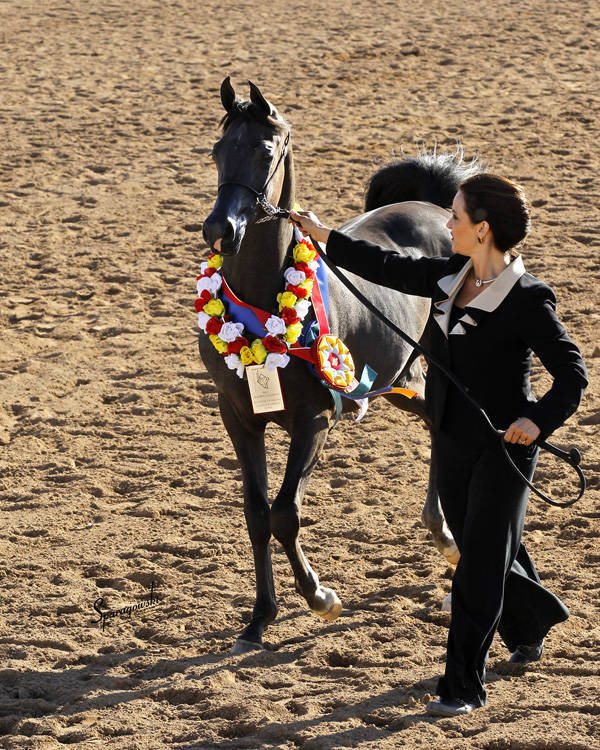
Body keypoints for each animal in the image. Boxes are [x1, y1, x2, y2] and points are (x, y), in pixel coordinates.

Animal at [200, 77, 478, 654]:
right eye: (217, 150)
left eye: (265, 150)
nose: (220, 229)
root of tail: (435, 209)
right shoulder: (238, 416)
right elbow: (256, 514)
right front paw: (259, 620)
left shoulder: (314, 421)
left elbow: (285, 514)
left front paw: (321, 598)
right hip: (399, 381)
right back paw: (443, 534)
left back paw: (450, 539)